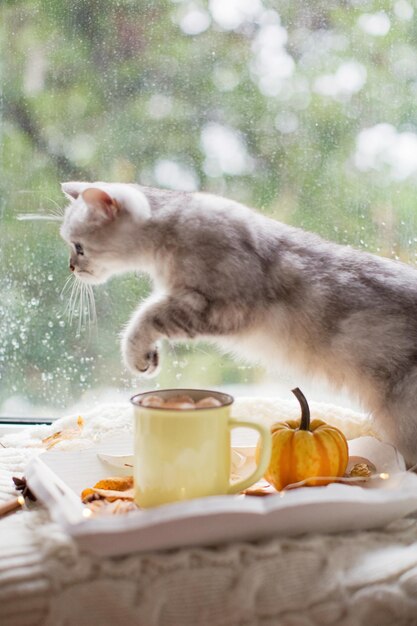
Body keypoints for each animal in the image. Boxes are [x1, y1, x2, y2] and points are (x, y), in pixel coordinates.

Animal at [59, 180, 417, 464]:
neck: (172, 228)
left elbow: (145, 315)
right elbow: (149, 310)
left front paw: (137, 355)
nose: (70, 267)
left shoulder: (221, 307)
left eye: (78, 247)